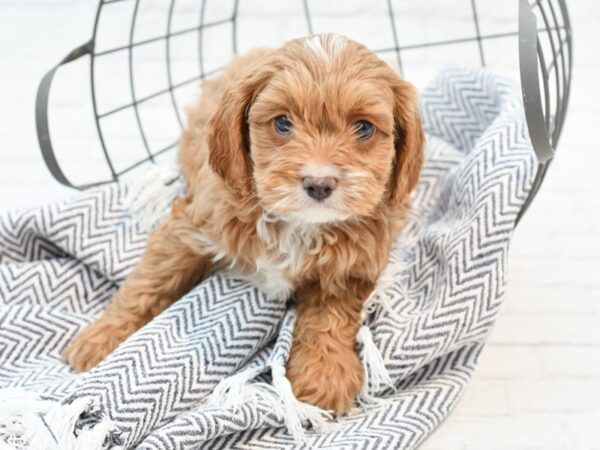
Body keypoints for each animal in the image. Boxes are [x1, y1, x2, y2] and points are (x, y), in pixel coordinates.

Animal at [64, 33, 422, 414]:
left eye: (364, 127)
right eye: (282, 123)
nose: (319, 183)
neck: (298, 224)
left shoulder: (353, 264)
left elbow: (331, 315)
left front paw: (324, 372)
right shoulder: (191, 226)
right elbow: (150, 281)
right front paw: (103, 336)